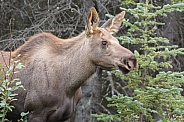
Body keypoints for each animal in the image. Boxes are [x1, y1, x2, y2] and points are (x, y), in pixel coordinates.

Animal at [0, 7, 138, 121]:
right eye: (104, 42)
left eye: (117, 40)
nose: (132, 60)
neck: (70, 85)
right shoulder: (36, 112)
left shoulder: (66, 116)